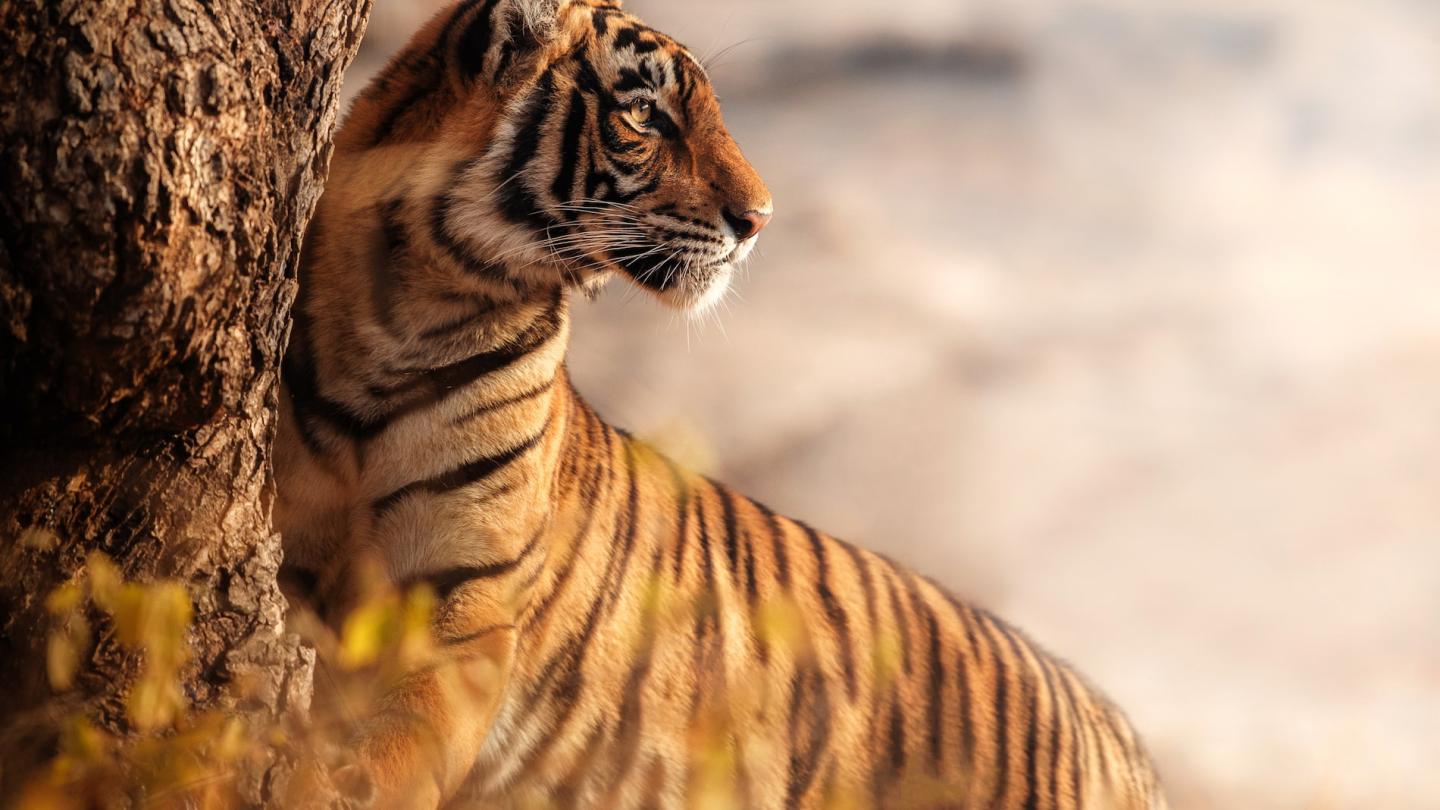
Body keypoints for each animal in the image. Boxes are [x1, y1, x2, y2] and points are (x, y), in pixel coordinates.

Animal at [273, 0, 1168, 808]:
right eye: (646, 114)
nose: (761, 220)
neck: (411, 311)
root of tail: (1119, 734)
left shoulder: (465, 605)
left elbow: (398, 750)